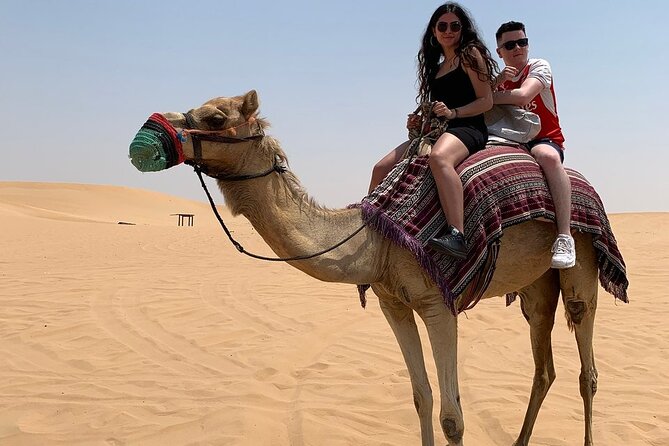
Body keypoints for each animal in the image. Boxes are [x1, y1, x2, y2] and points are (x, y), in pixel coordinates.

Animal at [139, 90, 615, 446]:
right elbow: (422, 398)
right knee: (544, 366)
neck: (377, 239)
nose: (152, 127)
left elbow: (453, 418)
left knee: (587, 369)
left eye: (216, 117)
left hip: (581, 262)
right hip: (535, 285)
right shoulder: (394, 304)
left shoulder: (438, 305)